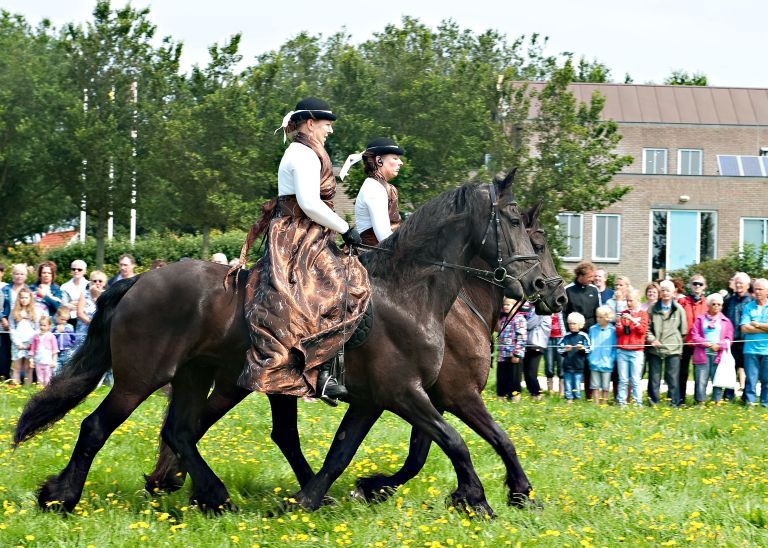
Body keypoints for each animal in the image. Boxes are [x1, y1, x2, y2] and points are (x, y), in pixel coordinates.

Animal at [15, 174, 548, 512]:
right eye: (518, 223)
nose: (548, 290)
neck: (412, 292)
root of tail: (138, 280)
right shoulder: (415, 393)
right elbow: (458, 440)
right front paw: (482, 499)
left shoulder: (383, 398)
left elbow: (350, 451)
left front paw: (318, 497)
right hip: (140, 377)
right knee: (97, 426)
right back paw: (62, 497)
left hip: (198, 375)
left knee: (183, 430)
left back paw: (204, 492)